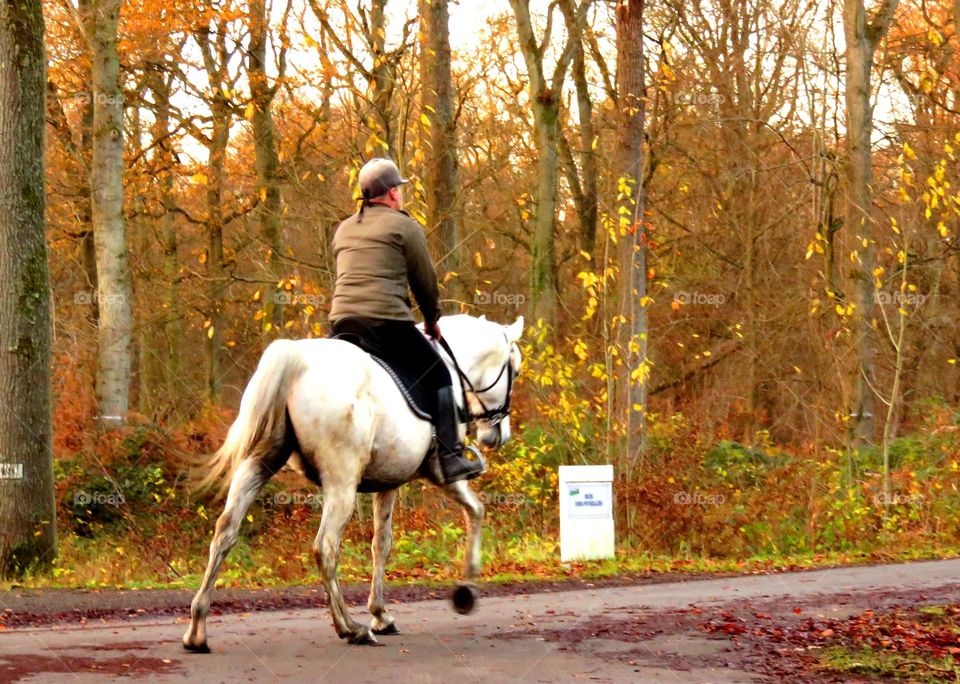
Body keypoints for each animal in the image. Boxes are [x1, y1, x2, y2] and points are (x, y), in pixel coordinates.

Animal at [180, 312, 524, 648]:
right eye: (516, 371)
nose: (498, 436)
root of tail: (296, 358)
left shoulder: (388, 483)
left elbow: (381, 543)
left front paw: (381, 614)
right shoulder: (442, 473)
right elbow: (475, 511)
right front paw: (466, 591)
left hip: (256, 465)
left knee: (225, 532)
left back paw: (197, 628)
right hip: (341, 484)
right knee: (325, 547)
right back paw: (350, 628)